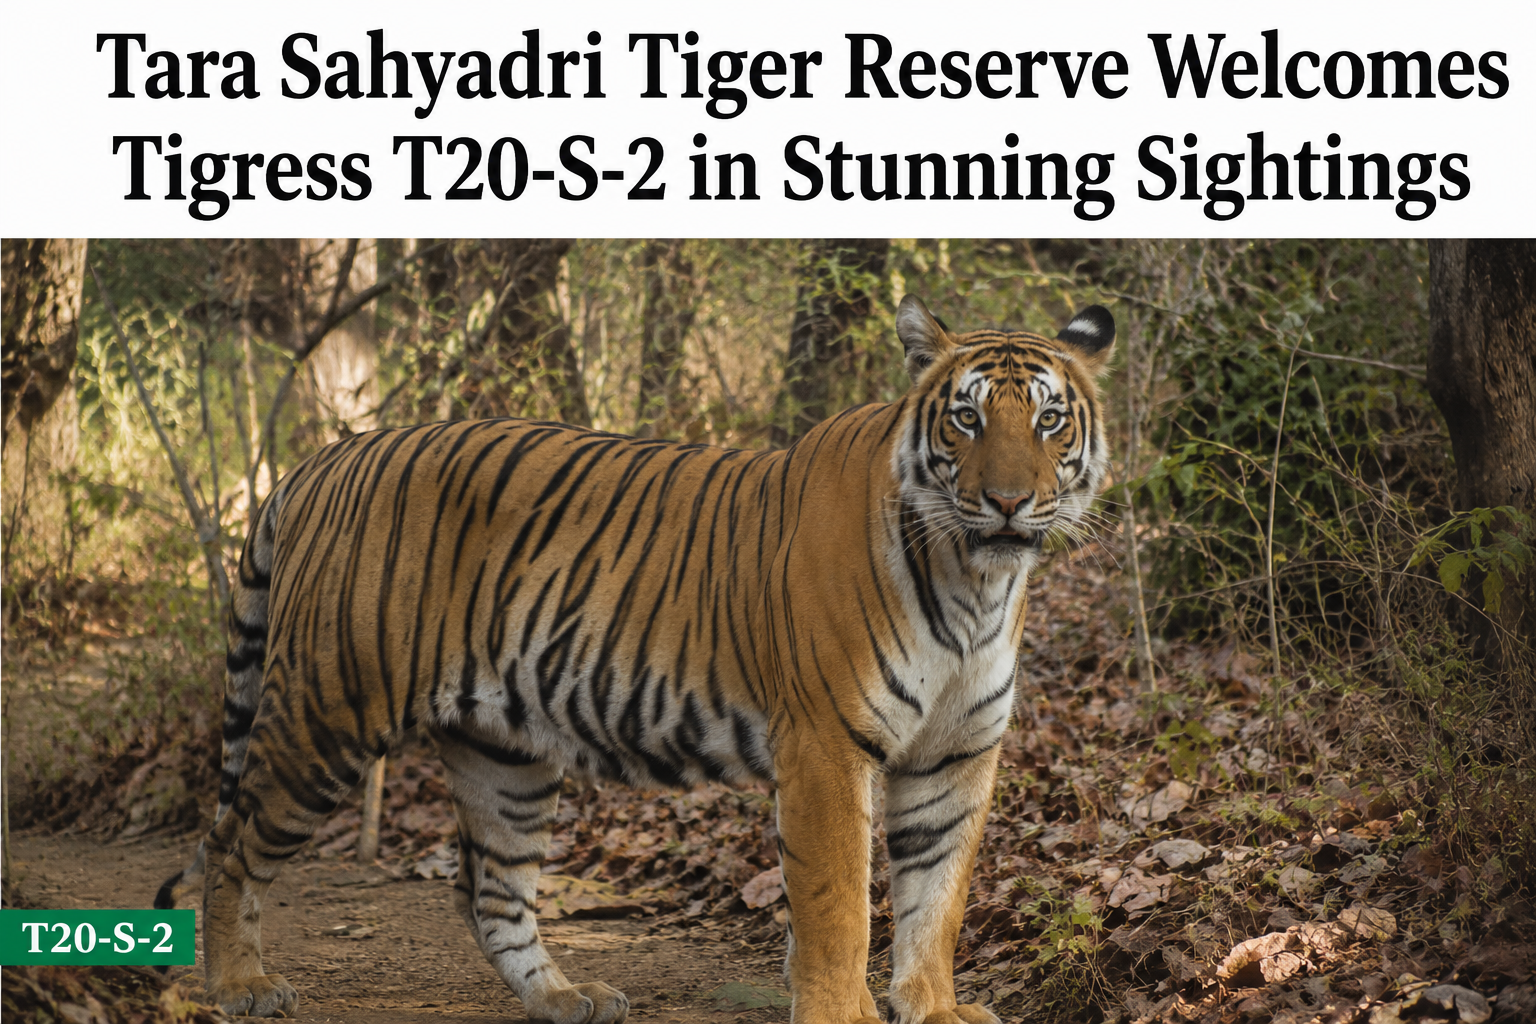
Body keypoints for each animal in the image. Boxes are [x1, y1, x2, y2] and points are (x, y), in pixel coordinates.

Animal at [155, 295, 1115, 1024]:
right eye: (967, 418)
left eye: (1048, 419)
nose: (1008, 501)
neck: (976, 582)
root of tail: (319, 459)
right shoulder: (825, 745)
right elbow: (841, 903)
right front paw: (842, 1014)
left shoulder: (955, 754)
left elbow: (936, 898)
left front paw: (933, 1008)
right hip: (327, 711)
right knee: (231, 839)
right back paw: (239, 985)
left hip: (504, 751)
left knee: (490, 891)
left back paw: (564, 998)